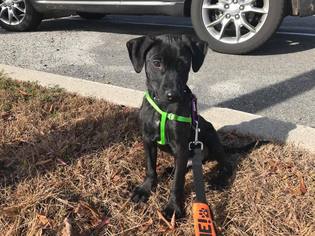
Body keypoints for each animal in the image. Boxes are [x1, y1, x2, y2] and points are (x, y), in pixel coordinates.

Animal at [127, 35, 233, 219]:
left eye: (183, 63)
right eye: (156, 63)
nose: (173, 95)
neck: (164, 107)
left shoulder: (181, 147)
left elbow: (178, 183)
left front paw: (174, 207)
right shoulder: (147, 140)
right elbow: (150, 167)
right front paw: (146, 188)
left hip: (210, 134)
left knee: (226, 164)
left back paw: (219, 180)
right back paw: (171, 169)